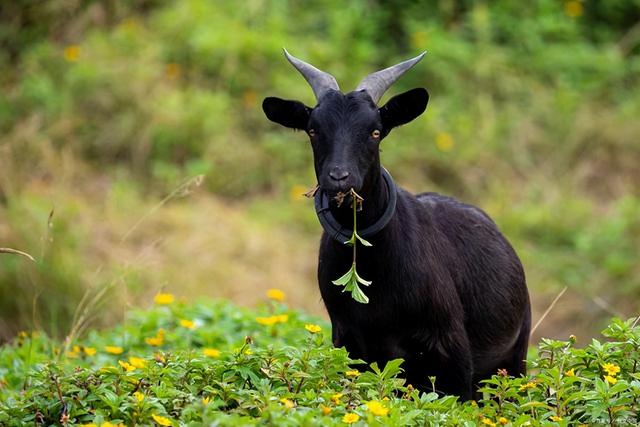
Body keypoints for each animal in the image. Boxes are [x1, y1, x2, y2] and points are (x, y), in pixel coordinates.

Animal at [262, 51, 528, 402]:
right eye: (313, 130)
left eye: (375, 131)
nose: (339, 178)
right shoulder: (351, 344)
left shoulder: (451, 350)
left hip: (514, 359)